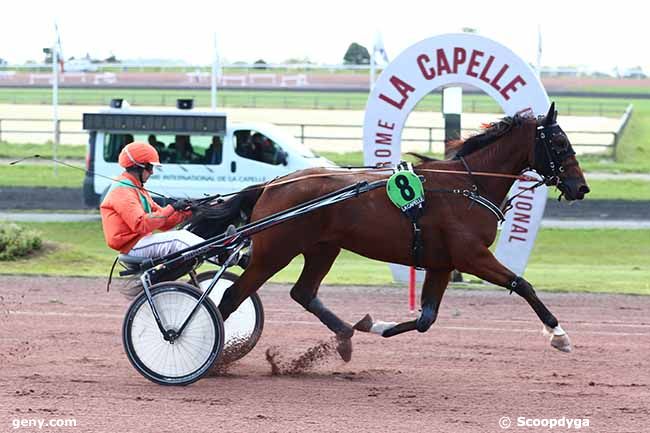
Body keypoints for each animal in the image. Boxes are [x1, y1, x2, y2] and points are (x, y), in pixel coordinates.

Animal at [186, 102, 588, 362]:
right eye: (560, 143)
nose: (580, 188)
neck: (468, 185)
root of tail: (272, 184)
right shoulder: (472, 256)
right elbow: (523, 285)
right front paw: (559, 336)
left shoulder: (442, 264)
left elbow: (426, 320)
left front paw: (374, 324)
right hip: (275, 252)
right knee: (231, 297)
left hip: (322, 247)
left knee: (303, 292)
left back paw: (346, 336)